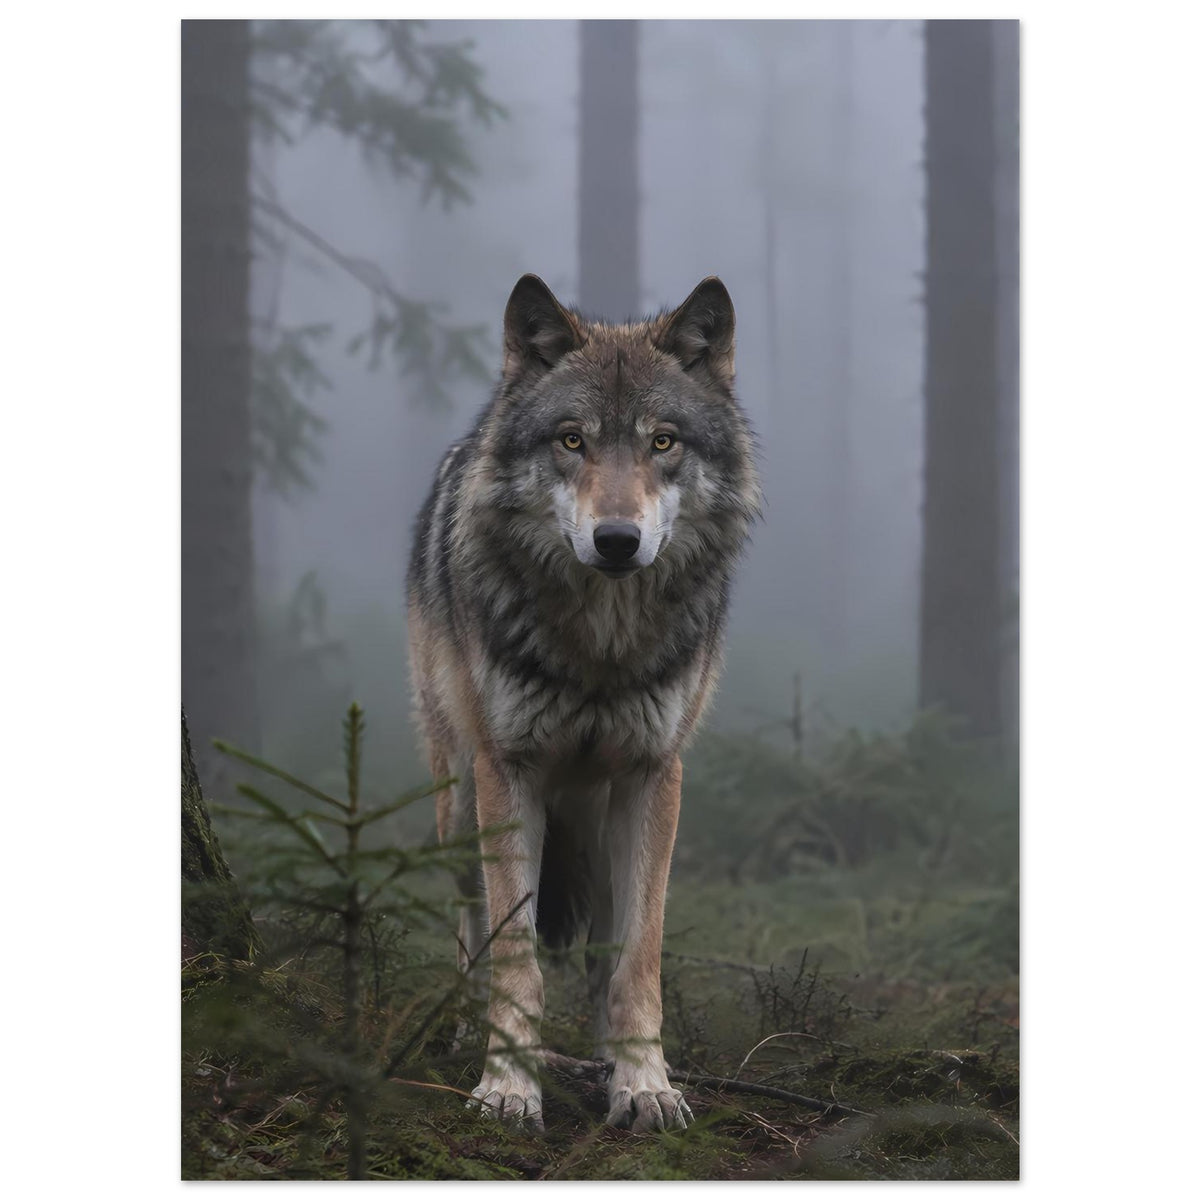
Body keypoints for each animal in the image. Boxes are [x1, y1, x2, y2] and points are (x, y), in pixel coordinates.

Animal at [407, 273, 761, 1132]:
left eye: (663, 442)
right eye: (572, 441)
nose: (616, 541)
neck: (601, 647)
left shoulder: (653, 776)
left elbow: (638, 960)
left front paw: (645, 1084)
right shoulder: (510, 772)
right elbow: (515, 957)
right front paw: (507, 1086)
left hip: (598, 821)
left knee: (603, 948)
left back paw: (606, 1057)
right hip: (459, 799)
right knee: (469, 928)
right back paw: (459, 1032)